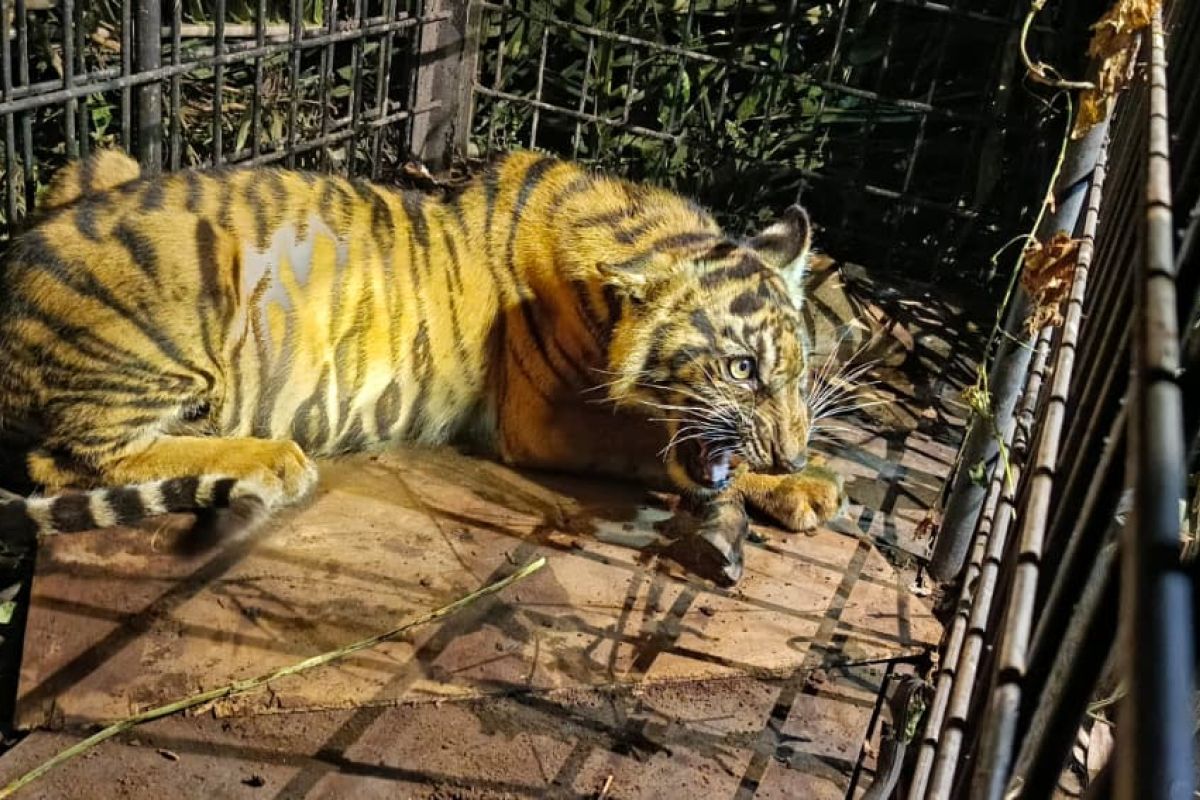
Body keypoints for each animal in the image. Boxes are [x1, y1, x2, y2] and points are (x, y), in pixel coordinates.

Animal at [0, 149, 844, 586]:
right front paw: (803, 484)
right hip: (189, 277)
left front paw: (805, 476)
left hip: (98, 164)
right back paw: (273, 458)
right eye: (741, 368)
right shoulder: (542, 422)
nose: (791, 451)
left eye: (797, 371)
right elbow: (653, 449)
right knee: (66, 459)